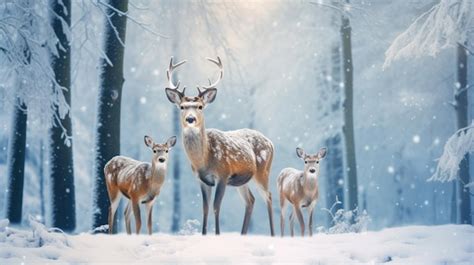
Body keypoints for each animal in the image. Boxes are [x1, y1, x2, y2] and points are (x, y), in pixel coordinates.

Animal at [164, 56, 276, 235]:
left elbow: (216, 207)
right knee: (251, 200)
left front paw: (217, 234)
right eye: (182, 107)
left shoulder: (223, 174)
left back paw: (273, 234)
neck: (204, 160)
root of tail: (270, 142)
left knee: (269, 196)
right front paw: (204, 234)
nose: (190, 119)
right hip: (243, 180)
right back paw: (242, 234)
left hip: (263, 171)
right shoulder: (202, 179)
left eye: (200, 106)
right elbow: (205, 208)